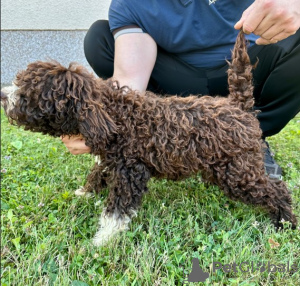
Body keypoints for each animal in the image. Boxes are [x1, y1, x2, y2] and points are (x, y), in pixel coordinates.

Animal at [1, 31, 296, 246]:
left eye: (28, 92)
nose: (3, 95)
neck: (114, 114)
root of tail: (238, 106)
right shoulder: (111, 159)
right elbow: (97, 172)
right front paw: (84, 193)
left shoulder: (131, 172)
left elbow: (117, 210)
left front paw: (102, 240)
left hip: (237, 172)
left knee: (276, 190)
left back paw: (285, 222)